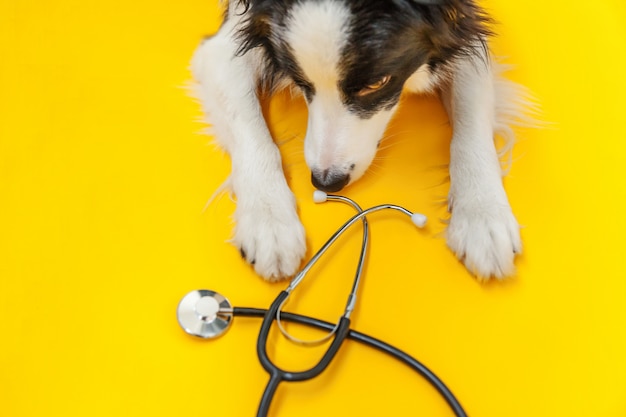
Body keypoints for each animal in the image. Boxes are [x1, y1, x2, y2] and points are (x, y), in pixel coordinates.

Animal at [191, 0, 528, 282]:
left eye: (376, 84)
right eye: (299, 80)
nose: (326, 181)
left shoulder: (464, 31)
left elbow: (471, 125)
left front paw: (482, 215)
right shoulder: (225, 46)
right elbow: (251, 130)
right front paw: (268, 220)